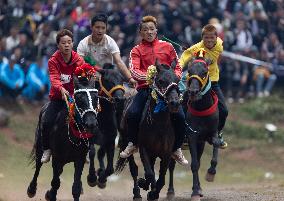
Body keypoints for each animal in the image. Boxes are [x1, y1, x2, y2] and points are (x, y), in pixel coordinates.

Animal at [115, 59, 180, 201]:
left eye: (177, 80)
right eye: (160, 81)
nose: (174, 103)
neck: (159, 124)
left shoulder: (166, 153)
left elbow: (161, 178)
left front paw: (153, 192)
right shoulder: (144, 148)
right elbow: (150, 174)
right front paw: (146, 186)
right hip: (127, 141)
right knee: (134, 168)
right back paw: (137, 193)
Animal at [183, 56, 221, 201]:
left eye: (204, 72)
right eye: (189, 71)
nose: (193, 92)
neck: (202, 109)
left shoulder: (212, 133)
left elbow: (216, 144)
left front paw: (211, 173)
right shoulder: (192, 136)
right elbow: (194, 164)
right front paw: (194, 192)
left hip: (201, 143)